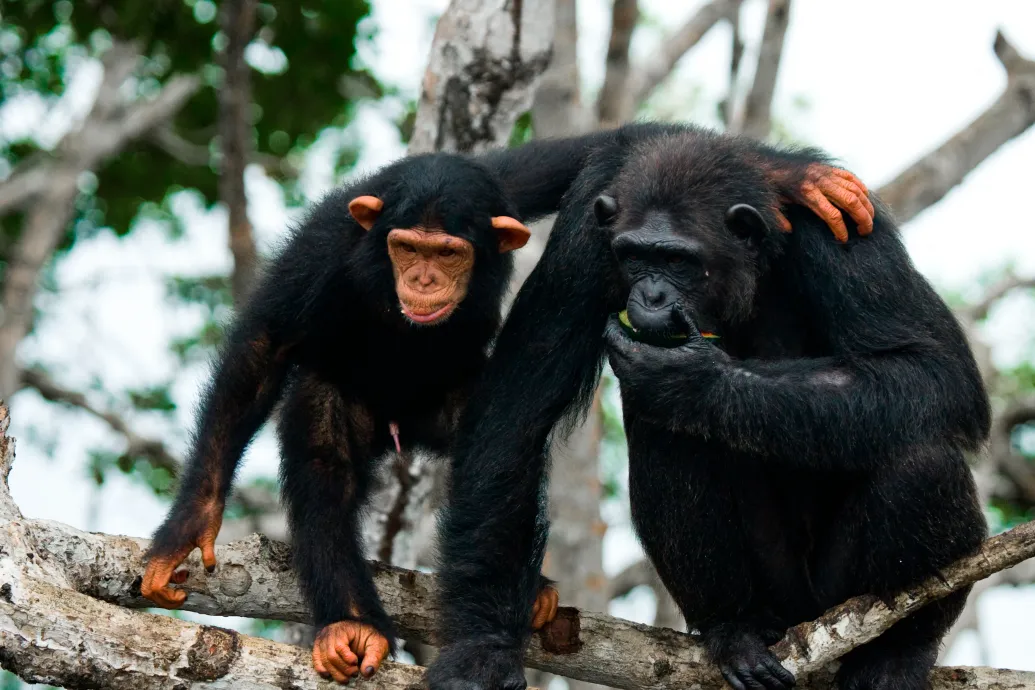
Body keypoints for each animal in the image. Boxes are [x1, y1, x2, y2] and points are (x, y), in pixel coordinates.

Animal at [137, 124, 873, 686]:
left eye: (448, 253)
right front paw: (189, 525)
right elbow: (263, 349)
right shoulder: (323, 248)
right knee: (325, 466)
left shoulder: (503, 188)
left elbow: (601, 148)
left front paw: (793, 177)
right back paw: (348, 621)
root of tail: (401, 426)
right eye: (405, 247)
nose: (422, 277)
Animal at [426, 125, 985, 690]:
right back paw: (734, 630)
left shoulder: (849, 242)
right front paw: (481, 651)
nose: (650, 295)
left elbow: (936, 372)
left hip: (833, 598)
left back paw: (895, 655)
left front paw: (692, 379)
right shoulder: (584, 240)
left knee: (922, 463)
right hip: (775, 594)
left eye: (678, 260)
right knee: (666, 435)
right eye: (635, 256)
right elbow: (515, 413)